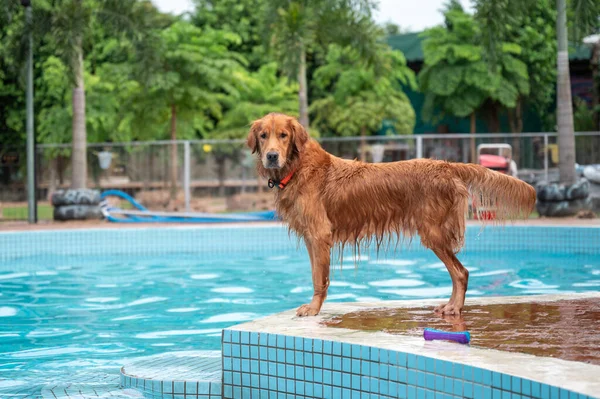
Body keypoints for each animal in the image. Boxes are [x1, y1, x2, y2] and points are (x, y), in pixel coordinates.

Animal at [246, 114, 536, 318]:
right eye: (263, 135)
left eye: (283, 135)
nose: (272, 156)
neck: (298, 167)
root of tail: (446, 166)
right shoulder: (311, 238)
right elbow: (315, 274)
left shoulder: (318, 234)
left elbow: (320, 278)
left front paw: (313, 308)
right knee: (458, 273)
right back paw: (452, 305)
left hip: (432, 233)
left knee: (461, 272)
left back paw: (455, 307)